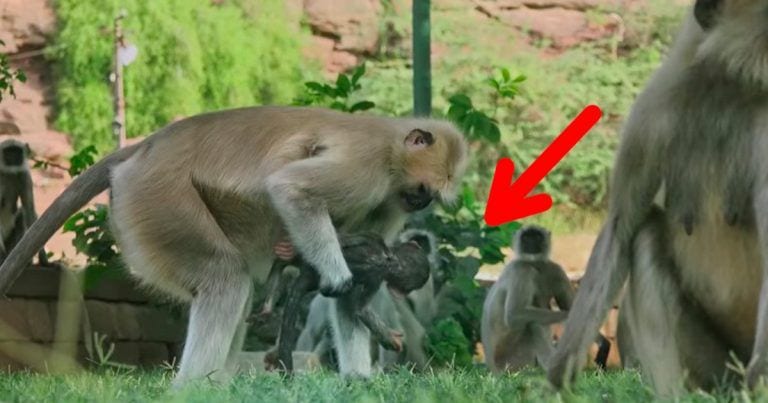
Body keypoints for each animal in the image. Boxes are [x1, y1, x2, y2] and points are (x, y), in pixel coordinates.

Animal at [0, 106, 467, 385]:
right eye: (425, 189)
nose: (422, 202)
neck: (391, 147)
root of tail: (144, 148)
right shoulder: (367, 166)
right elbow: (291, 190)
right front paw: (335, 276)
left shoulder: (387, 200)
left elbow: (353, 297)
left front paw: (358, 383)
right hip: (158, 198)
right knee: (225, 278)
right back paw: (193, 387)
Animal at [548, 1, 768, 395]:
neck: (726, 84)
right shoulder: (652, 109)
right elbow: (620, 228)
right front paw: (560, 376)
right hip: (715, 367)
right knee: (647, 235)